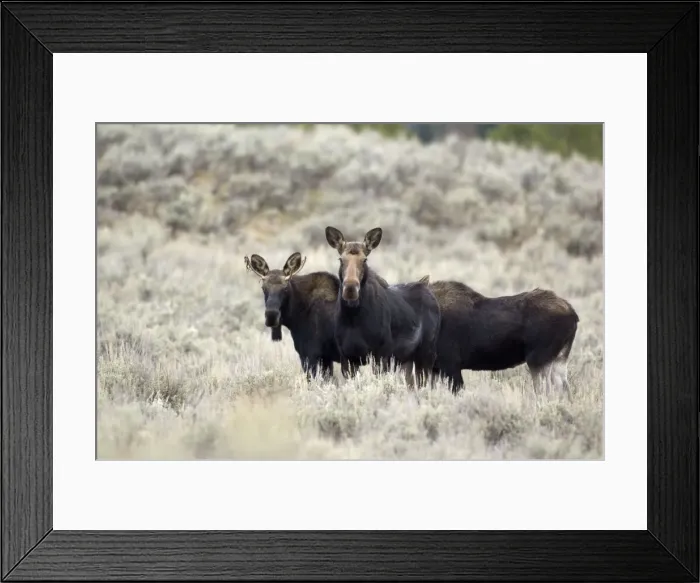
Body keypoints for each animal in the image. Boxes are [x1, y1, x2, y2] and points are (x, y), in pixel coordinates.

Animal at [324, 226, 442, 388]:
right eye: (341, 259)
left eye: (364, 259)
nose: (350, 289)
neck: (353, 316)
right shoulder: (347, 358)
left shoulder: (381, 355)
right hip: (407, 358)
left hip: (426, 354)